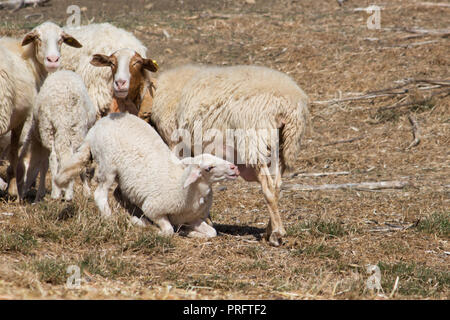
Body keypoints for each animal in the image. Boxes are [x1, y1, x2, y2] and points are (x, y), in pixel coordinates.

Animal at [0, 21, 81, 196]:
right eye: (38, 38)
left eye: (61, 39)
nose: (53, 60)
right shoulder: (22, 116)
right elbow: (15, 151)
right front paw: (13, 190)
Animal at [16, 70, 96, 201]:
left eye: (21, 174)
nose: (19, 198)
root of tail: (61, 114)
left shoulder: (42, 143)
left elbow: (44, 165)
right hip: (74, 130)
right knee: (63, 158)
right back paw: (64, 193)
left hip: (50, 129)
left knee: (55, 158)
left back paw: (59, 192)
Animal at [55, 113, 241, 238]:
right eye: (209, 168)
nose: (235, 168)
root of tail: (94, 129)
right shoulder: (154, 209)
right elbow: (168, 230)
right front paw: (151, 227)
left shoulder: (193, 218)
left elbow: (212, 232)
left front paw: (190, 232)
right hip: (108, 166)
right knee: (100, 194)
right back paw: (112, 218)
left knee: (118, 193)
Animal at [150, 63, 310, 246]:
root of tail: (288, 104)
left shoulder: (178, 144)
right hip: (282, 146)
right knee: (277, 186)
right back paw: (270, 231)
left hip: (253, 140)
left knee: (268, 188)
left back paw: (277, 234)